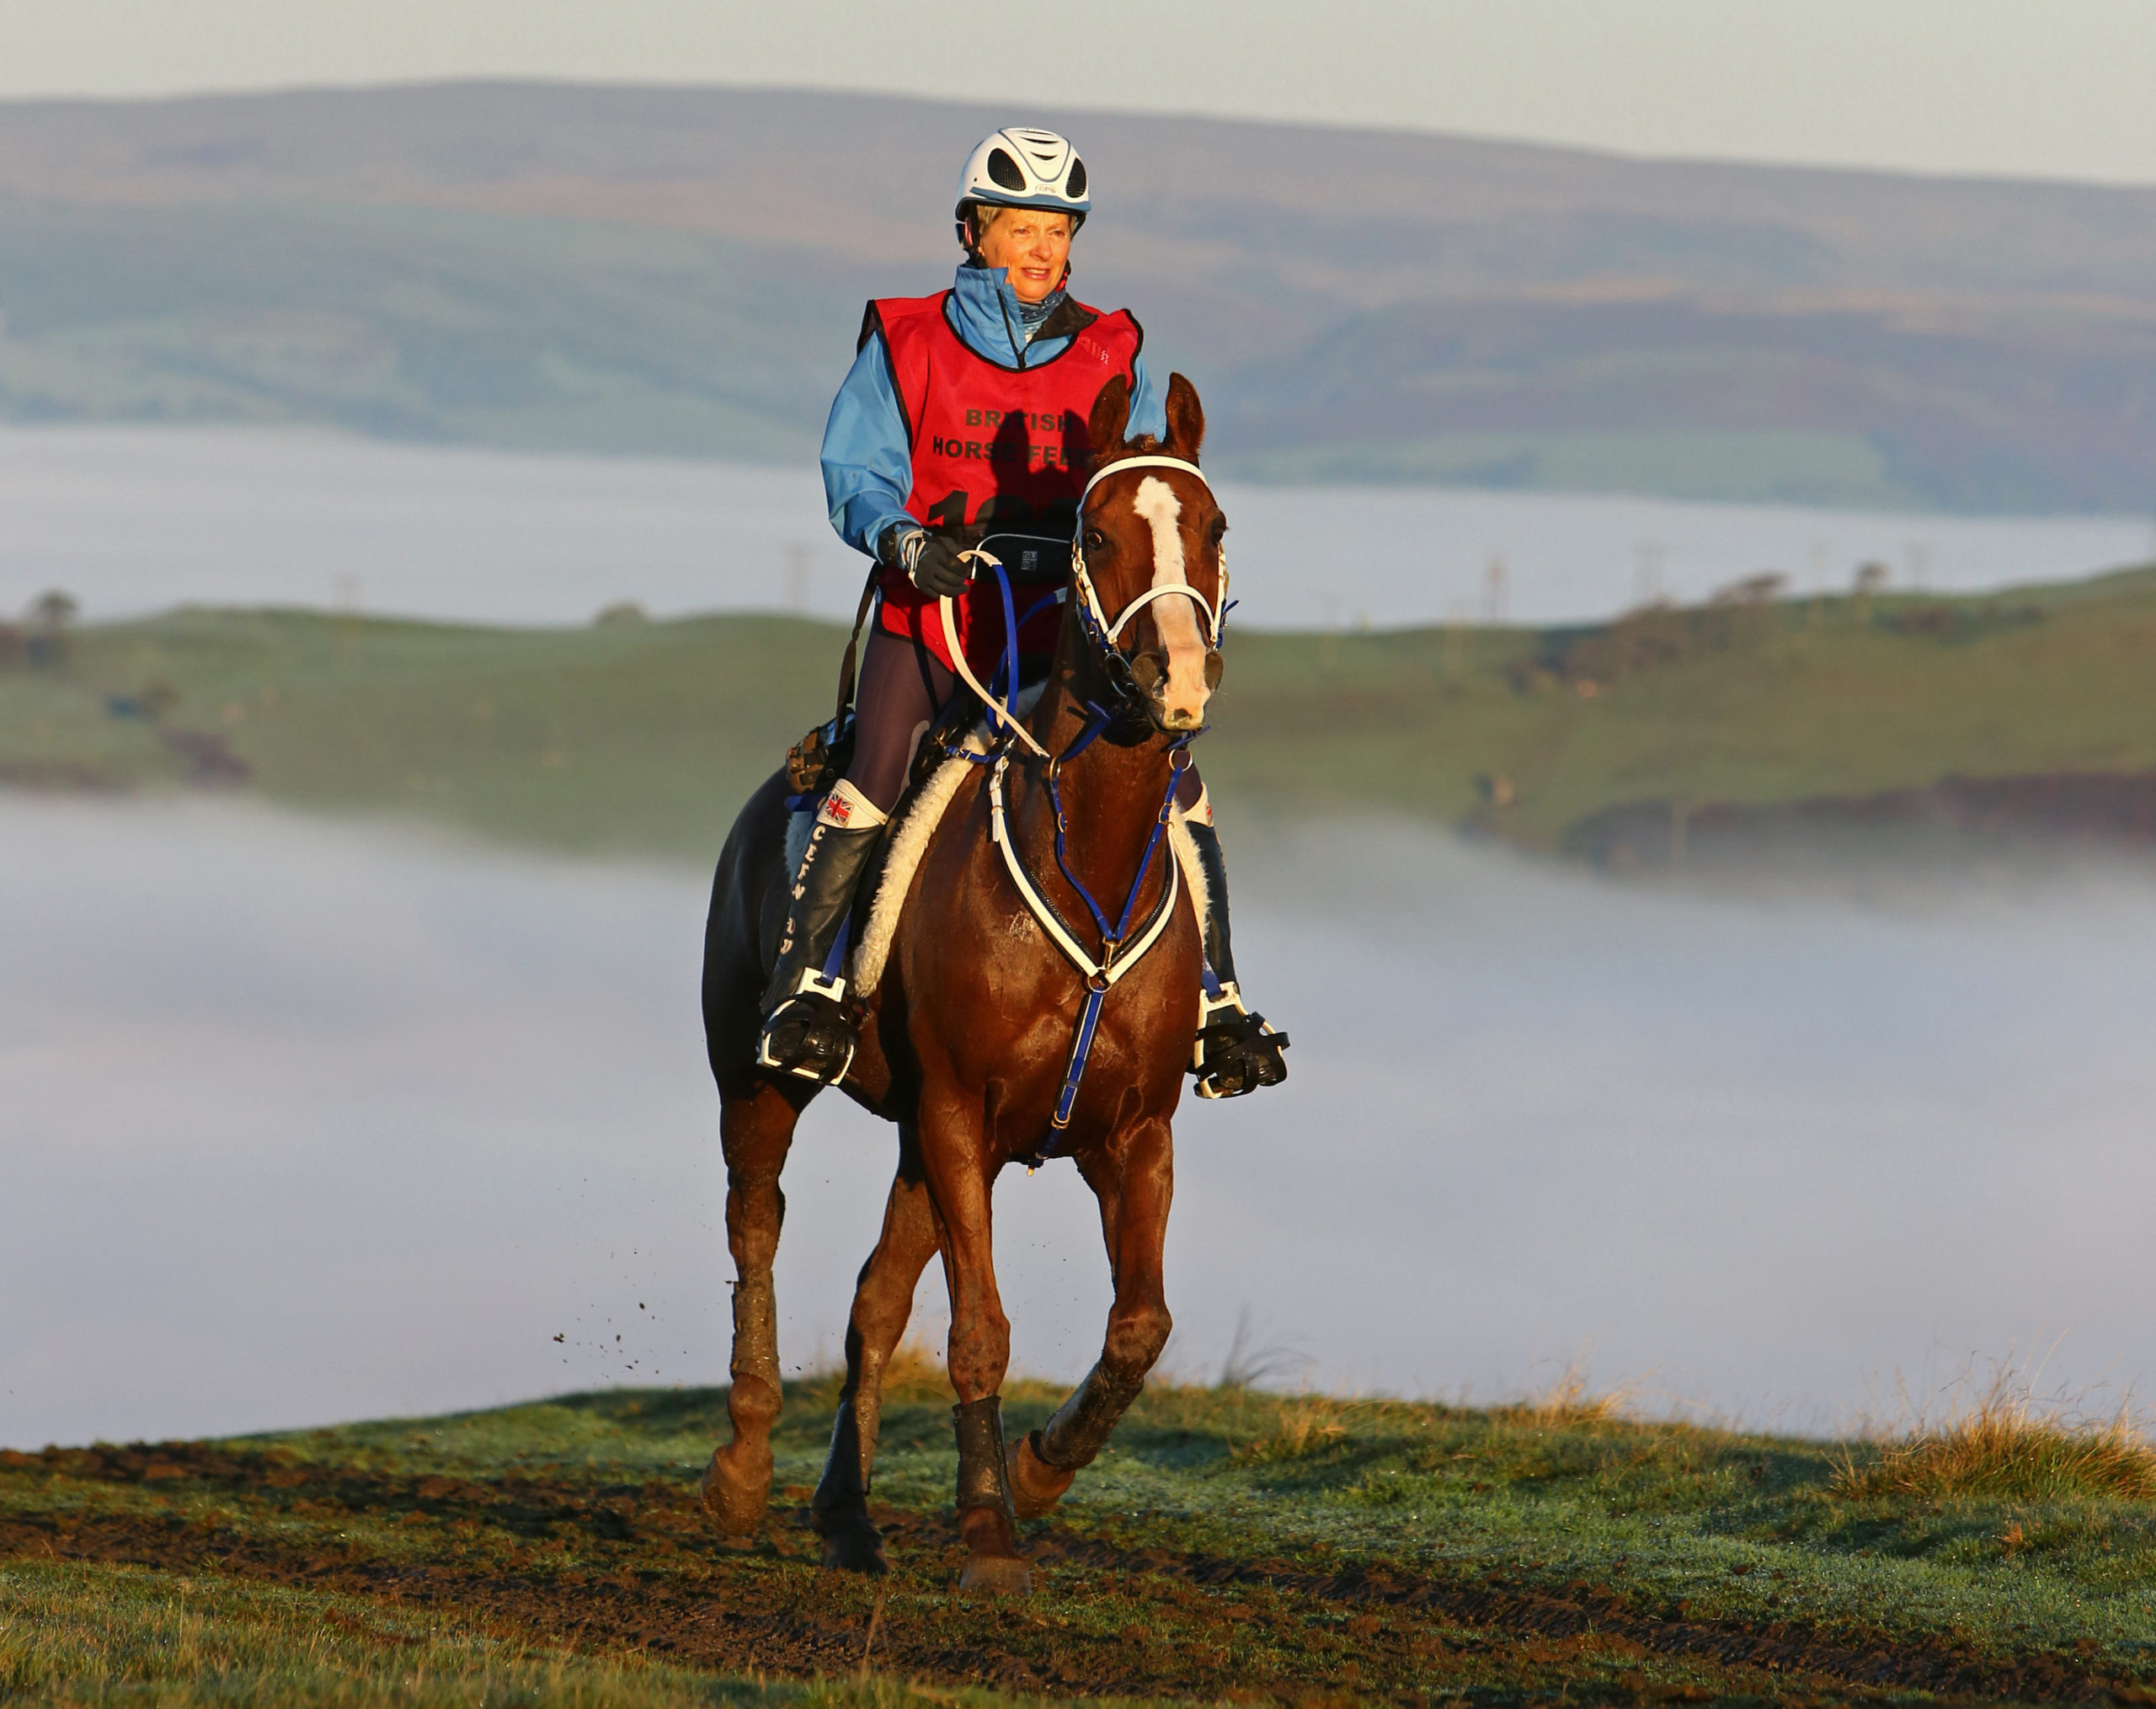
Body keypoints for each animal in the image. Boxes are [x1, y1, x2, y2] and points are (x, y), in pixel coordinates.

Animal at [696, 370, 1228, 1594]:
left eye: (1215, 526)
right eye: (1096, 530)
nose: (1177, 680)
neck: (1085, 863)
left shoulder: (1130, 1134)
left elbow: (1141, 1326)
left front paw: (1035, 1472)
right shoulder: (954, 1114)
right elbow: (979, 1327)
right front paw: (988, 1531)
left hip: (922, 1146)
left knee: (873, 1300)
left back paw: (846, 1514)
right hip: (764, 1084)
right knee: (756, 1224)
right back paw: (744, 1468)